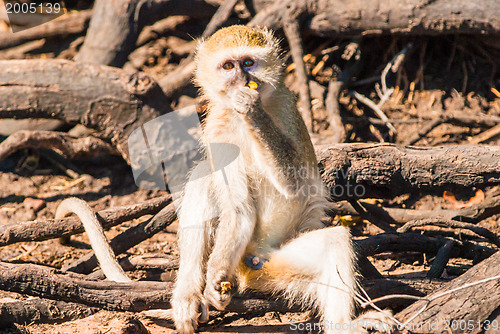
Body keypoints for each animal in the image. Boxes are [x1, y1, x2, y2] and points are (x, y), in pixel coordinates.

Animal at [173, 24, 360, 332]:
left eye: (248, 63)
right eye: (228, 66)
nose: (243, 79)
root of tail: (254, 256)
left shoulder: (286, 106)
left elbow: (295, 184)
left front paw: (253, 110)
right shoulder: (215, 128)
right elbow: (239, 209)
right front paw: (214, 278)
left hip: (275, 261)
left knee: (334, 240)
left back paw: (343, 325)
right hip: (247, 257)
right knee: (203, 175)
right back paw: (187, 292)